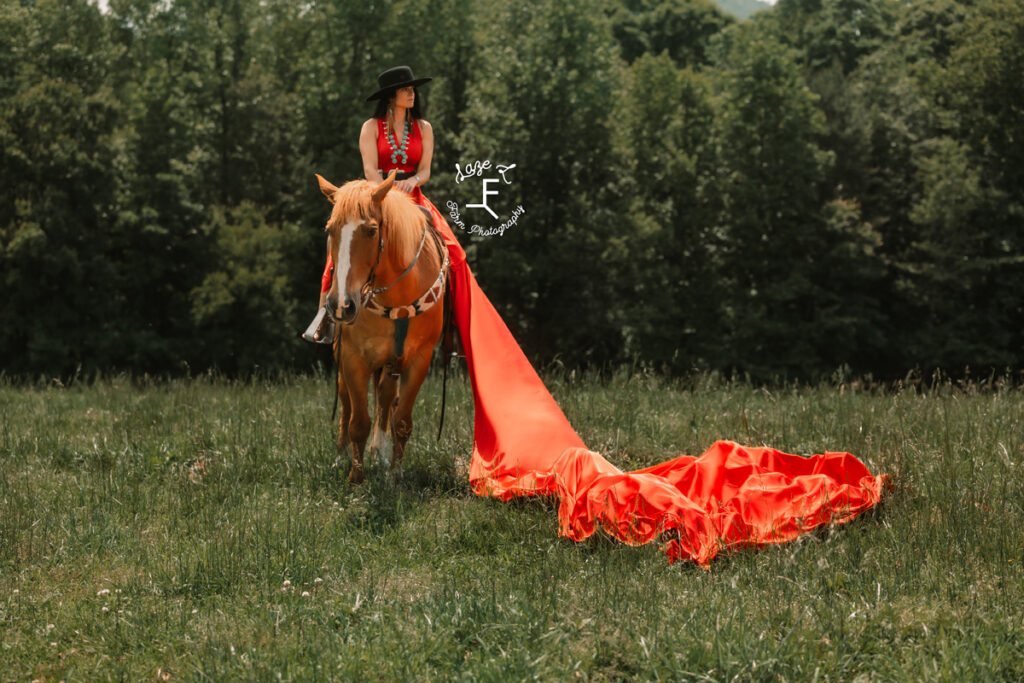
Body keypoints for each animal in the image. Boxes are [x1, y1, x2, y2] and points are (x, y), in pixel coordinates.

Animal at [315, 172, 448, 481]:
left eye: (372, 231)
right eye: (330, 230)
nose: (341, 305)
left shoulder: (420, 360)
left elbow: (402, 421)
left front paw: (394, 474)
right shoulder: (352, 358)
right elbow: (358, 422)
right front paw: (356, 478)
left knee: (386, 400)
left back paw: (379, 454)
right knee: (346, 404)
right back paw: (341, 457)